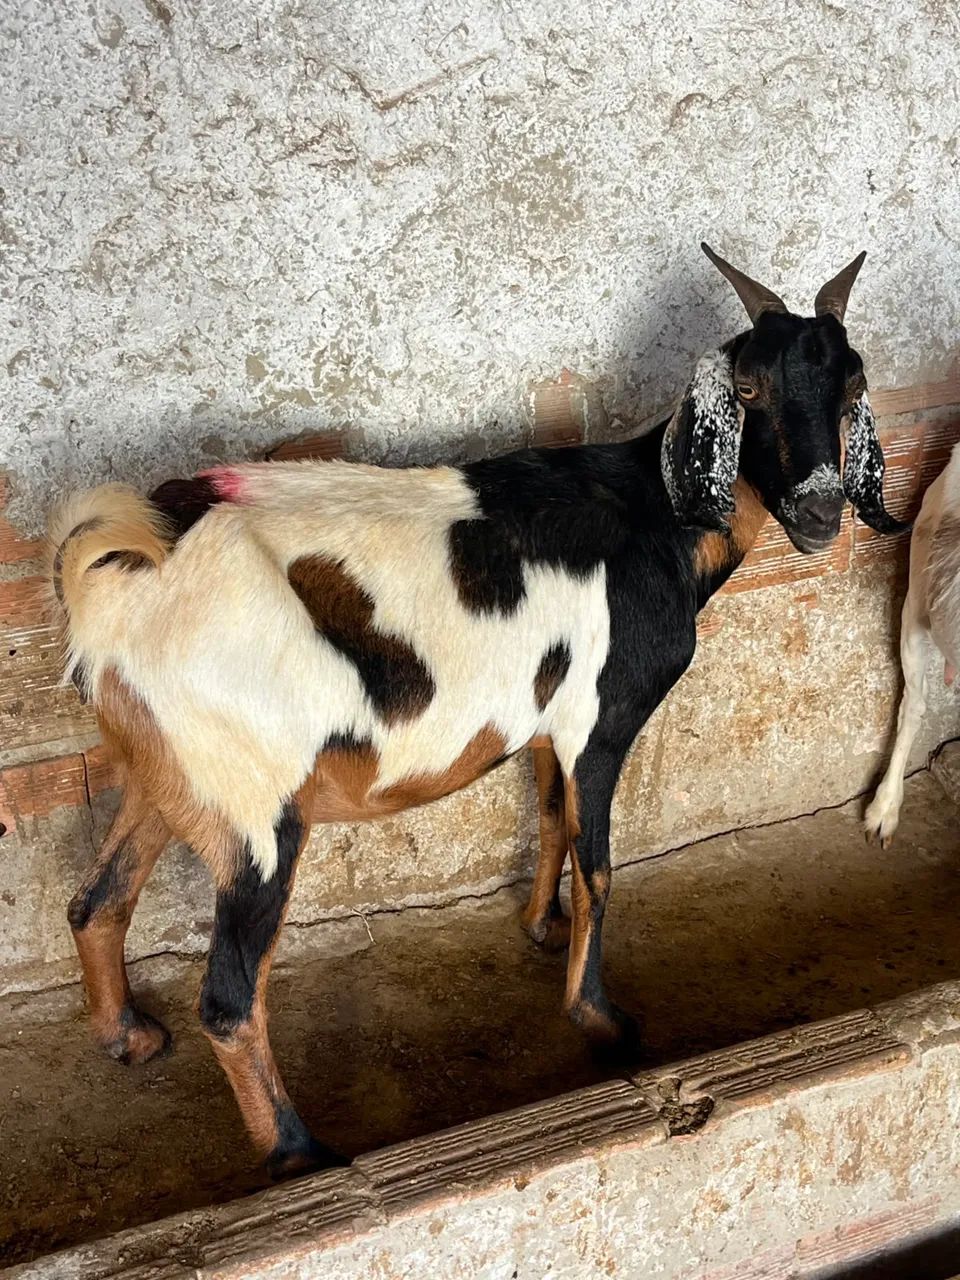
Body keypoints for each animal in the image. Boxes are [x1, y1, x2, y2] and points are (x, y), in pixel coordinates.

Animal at [49, 244, 905, 1177]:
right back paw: (297, 1151)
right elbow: (601, 864)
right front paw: (599, 1017)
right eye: (747, 388)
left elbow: (552, 818)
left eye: (853, 391)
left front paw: (540, 925)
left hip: (170, 773)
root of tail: (115, 580)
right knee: (229, 998)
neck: (657, 517)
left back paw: (128, 1037)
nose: (821, 511)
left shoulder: (546, 720)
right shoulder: (601, 721)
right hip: (256, 812)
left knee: (96, 903)